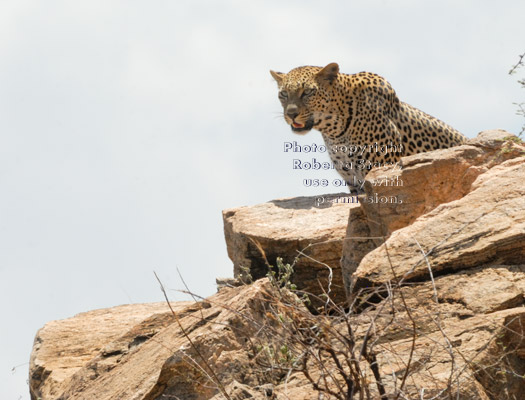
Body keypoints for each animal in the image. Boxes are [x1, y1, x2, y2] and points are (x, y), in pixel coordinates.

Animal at [270, 62, 466, 192]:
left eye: (308, 92)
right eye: (283, 94)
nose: (291, 114)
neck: (334, 131)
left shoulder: (382, 171)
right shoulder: (354, 182)